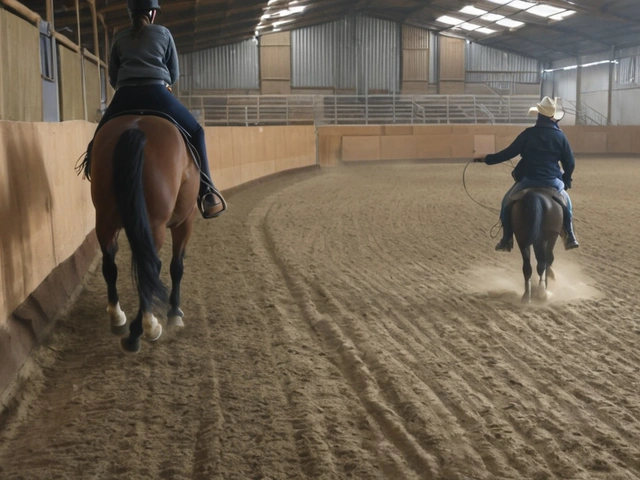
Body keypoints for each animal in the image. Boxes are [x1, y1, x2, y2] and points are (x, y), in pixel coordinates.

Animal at [90, 113, 199, 352]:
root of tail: (136, 128)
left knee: (110, 265)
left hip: (104, 219)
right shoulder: (185, 221)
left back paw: (118, 318)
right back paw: (143, 329)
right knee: (150, 268)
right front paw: (174, 312)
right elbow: (177, 266)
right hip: (154, 225)